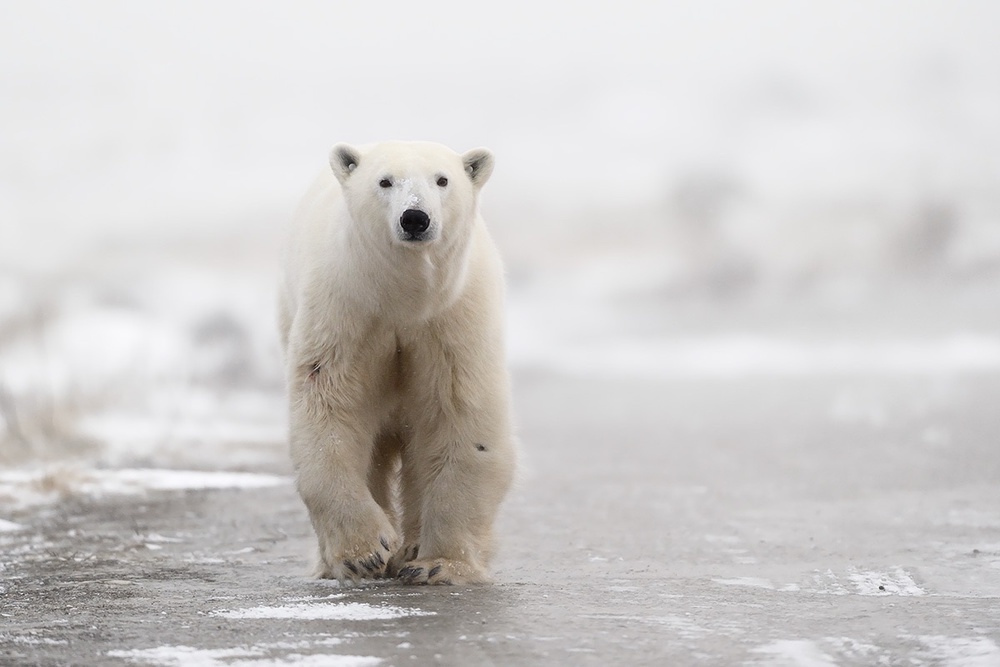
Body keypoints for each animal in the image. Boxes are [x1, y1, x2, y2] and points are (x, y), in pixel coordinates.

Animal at [280, 140, 516, 584]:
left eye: (442, 180)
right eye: (385, 181)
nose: (415, 218)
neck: (404, 297)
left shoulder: (451, 322)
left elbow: (462, 421)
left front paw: (439, 564)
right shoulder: (346, 310)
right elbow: (330, 407)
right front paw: (365, 553)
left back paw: (411, 549)